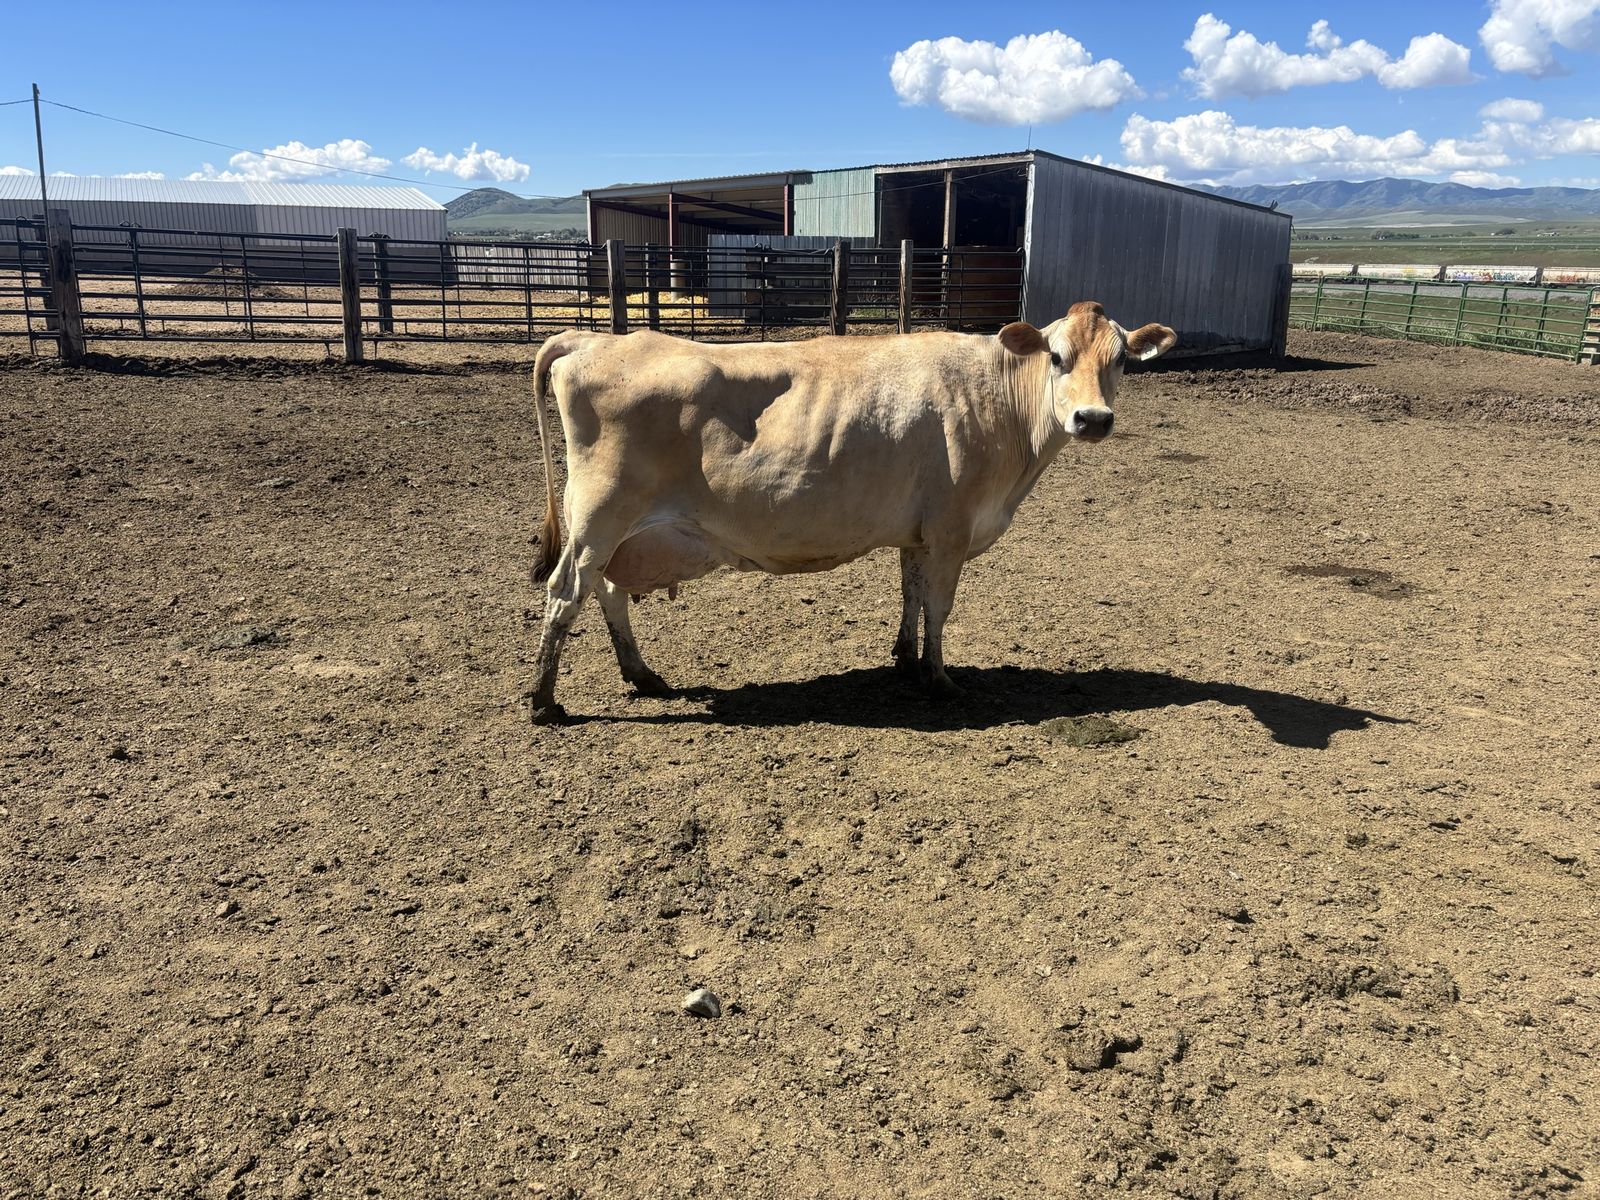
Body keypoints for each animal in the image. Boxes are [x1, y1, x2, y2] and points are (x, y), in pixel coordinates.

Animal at [525, 302, 1177, 723]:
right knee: (566, 592)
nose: (1093, 419)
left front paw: (906, 661)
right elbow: (939, 606)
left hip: (620, 532)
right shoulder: (952, 528)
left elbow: (911, 594)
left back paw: (640, 675)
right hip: (599, 515)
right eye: (1058, 357)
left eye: (1121, 359)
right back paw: (544, 700)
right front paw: (941, 679)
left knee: (607, 592)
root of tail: (598, 340)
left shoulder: (918, 532)